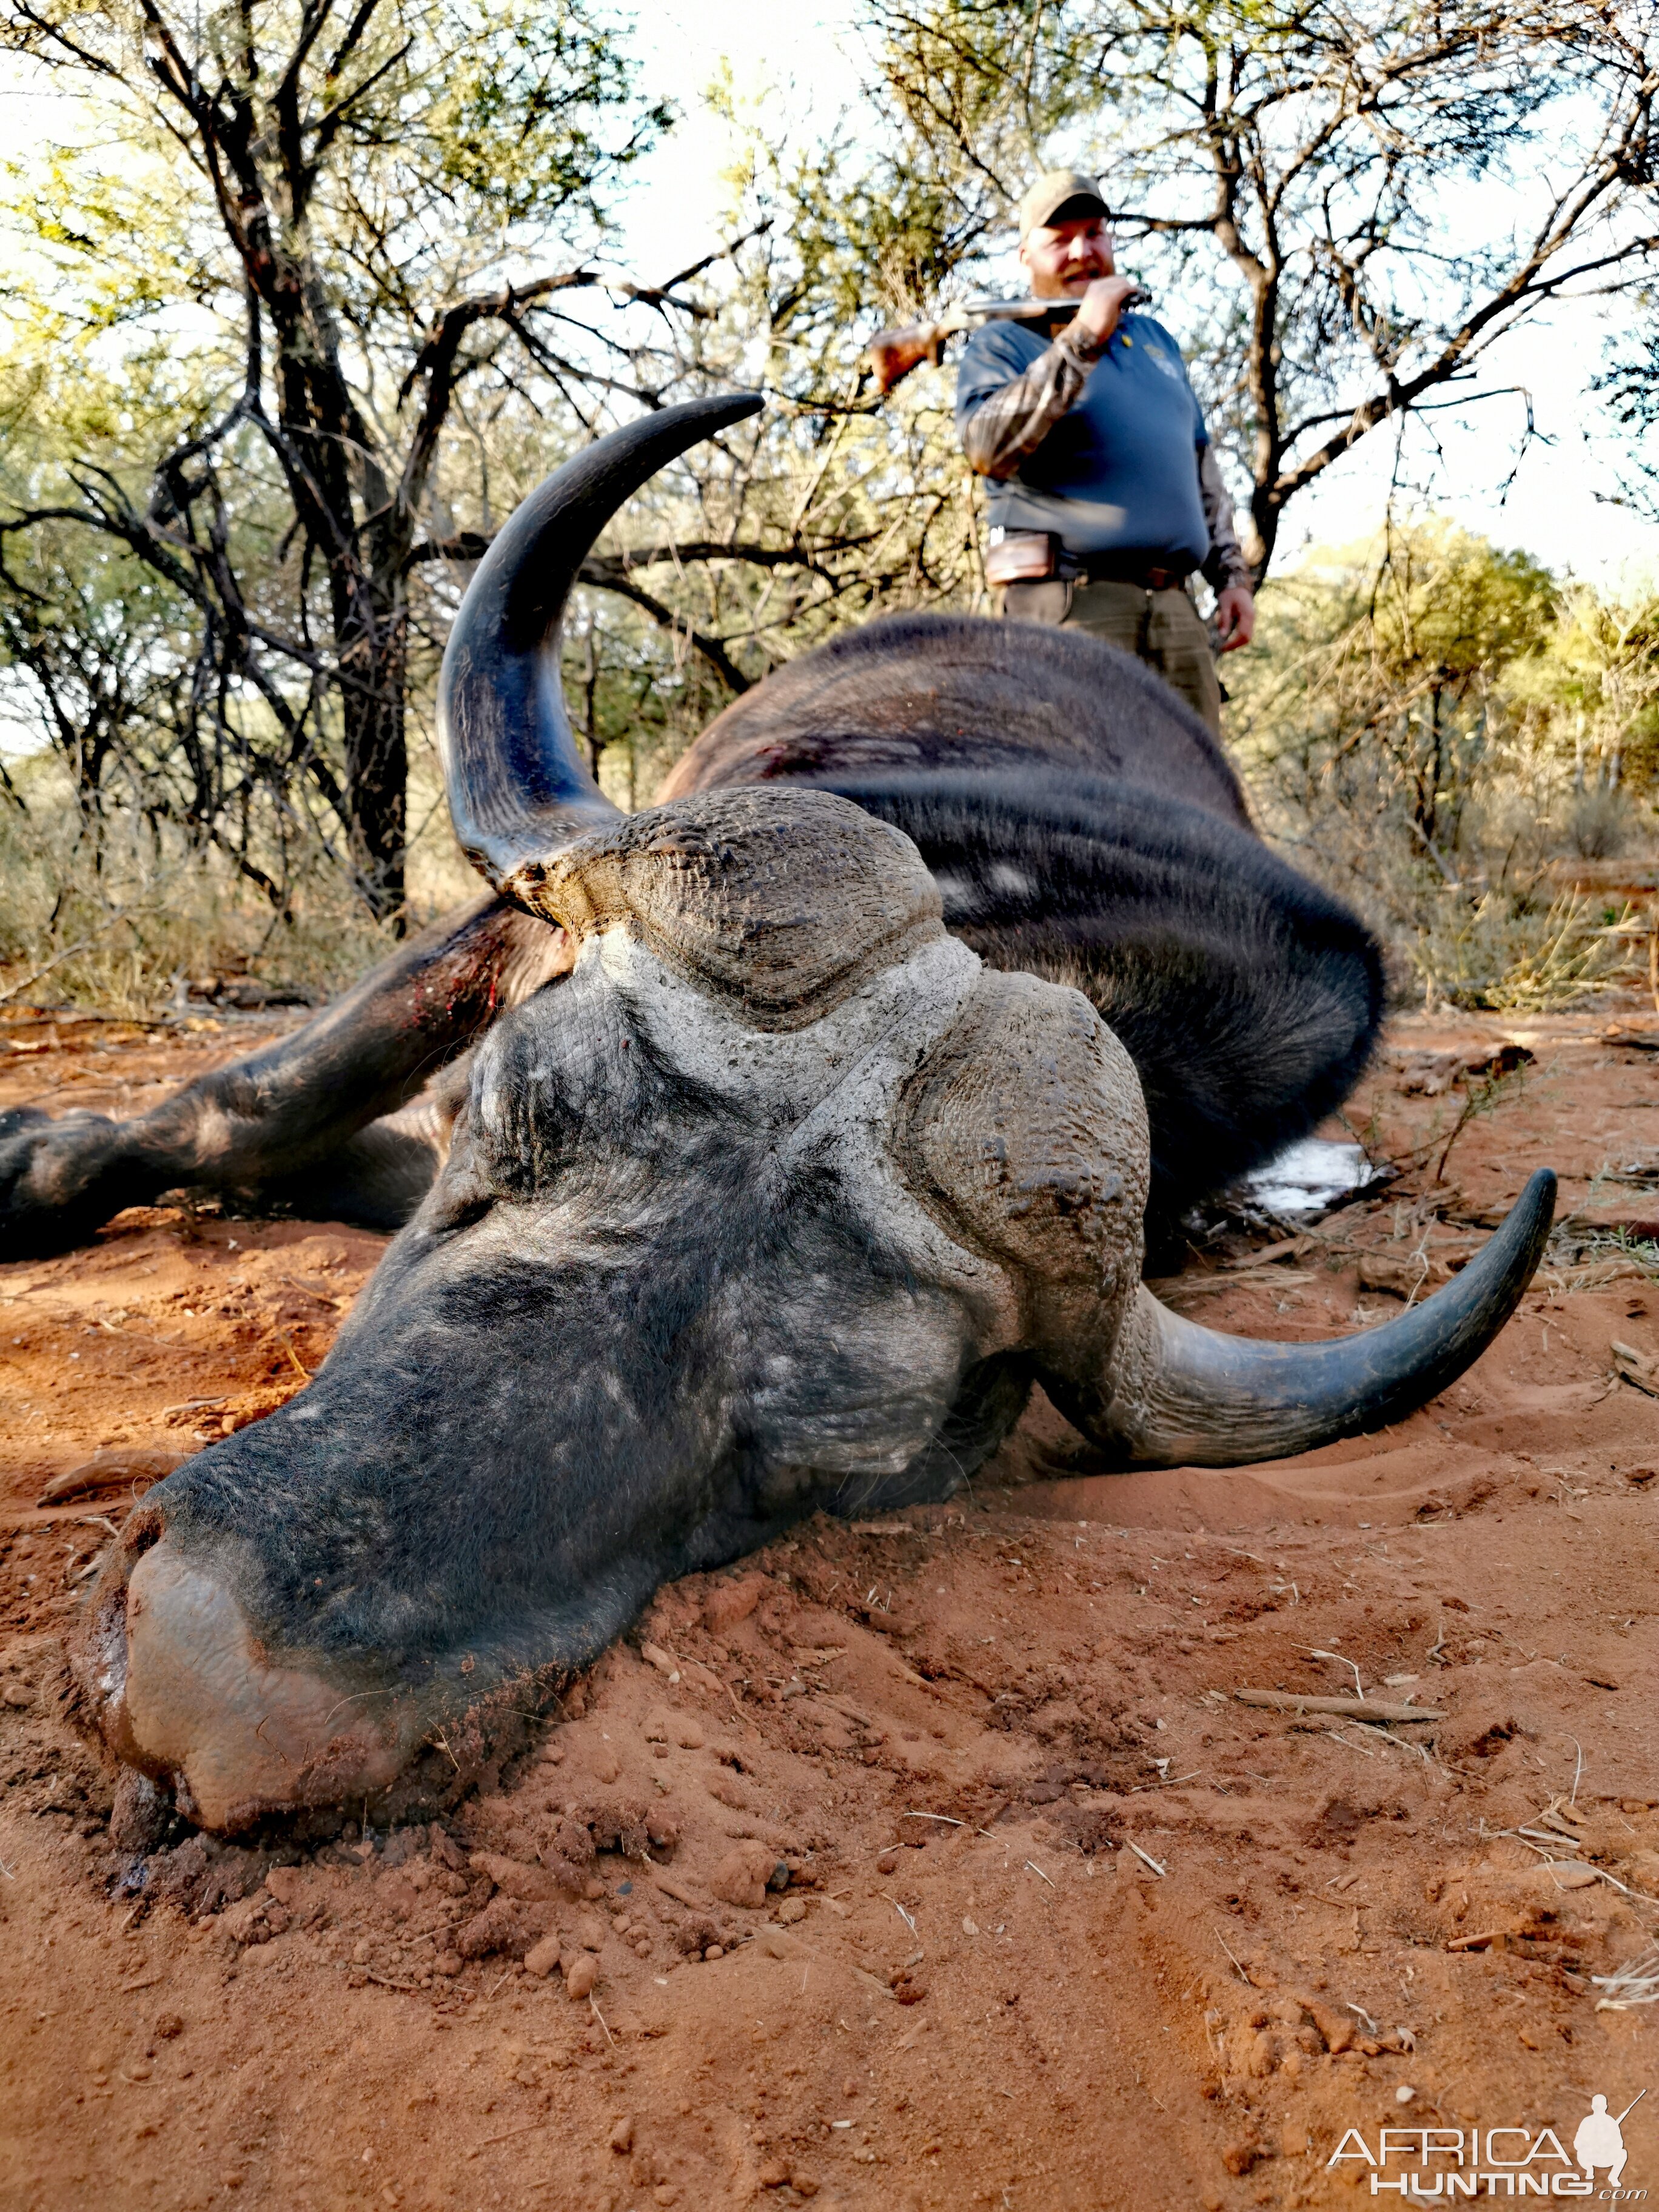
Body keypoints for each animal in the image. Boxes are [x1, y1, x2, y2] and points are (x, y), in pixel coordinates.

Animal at [3, 394, 1557, 1831]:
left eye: (812, 1451)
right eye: (510, 1119)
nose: (190, 1683)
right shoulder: (492, 937)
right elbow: (256, 1097)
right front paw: (47, 1162)